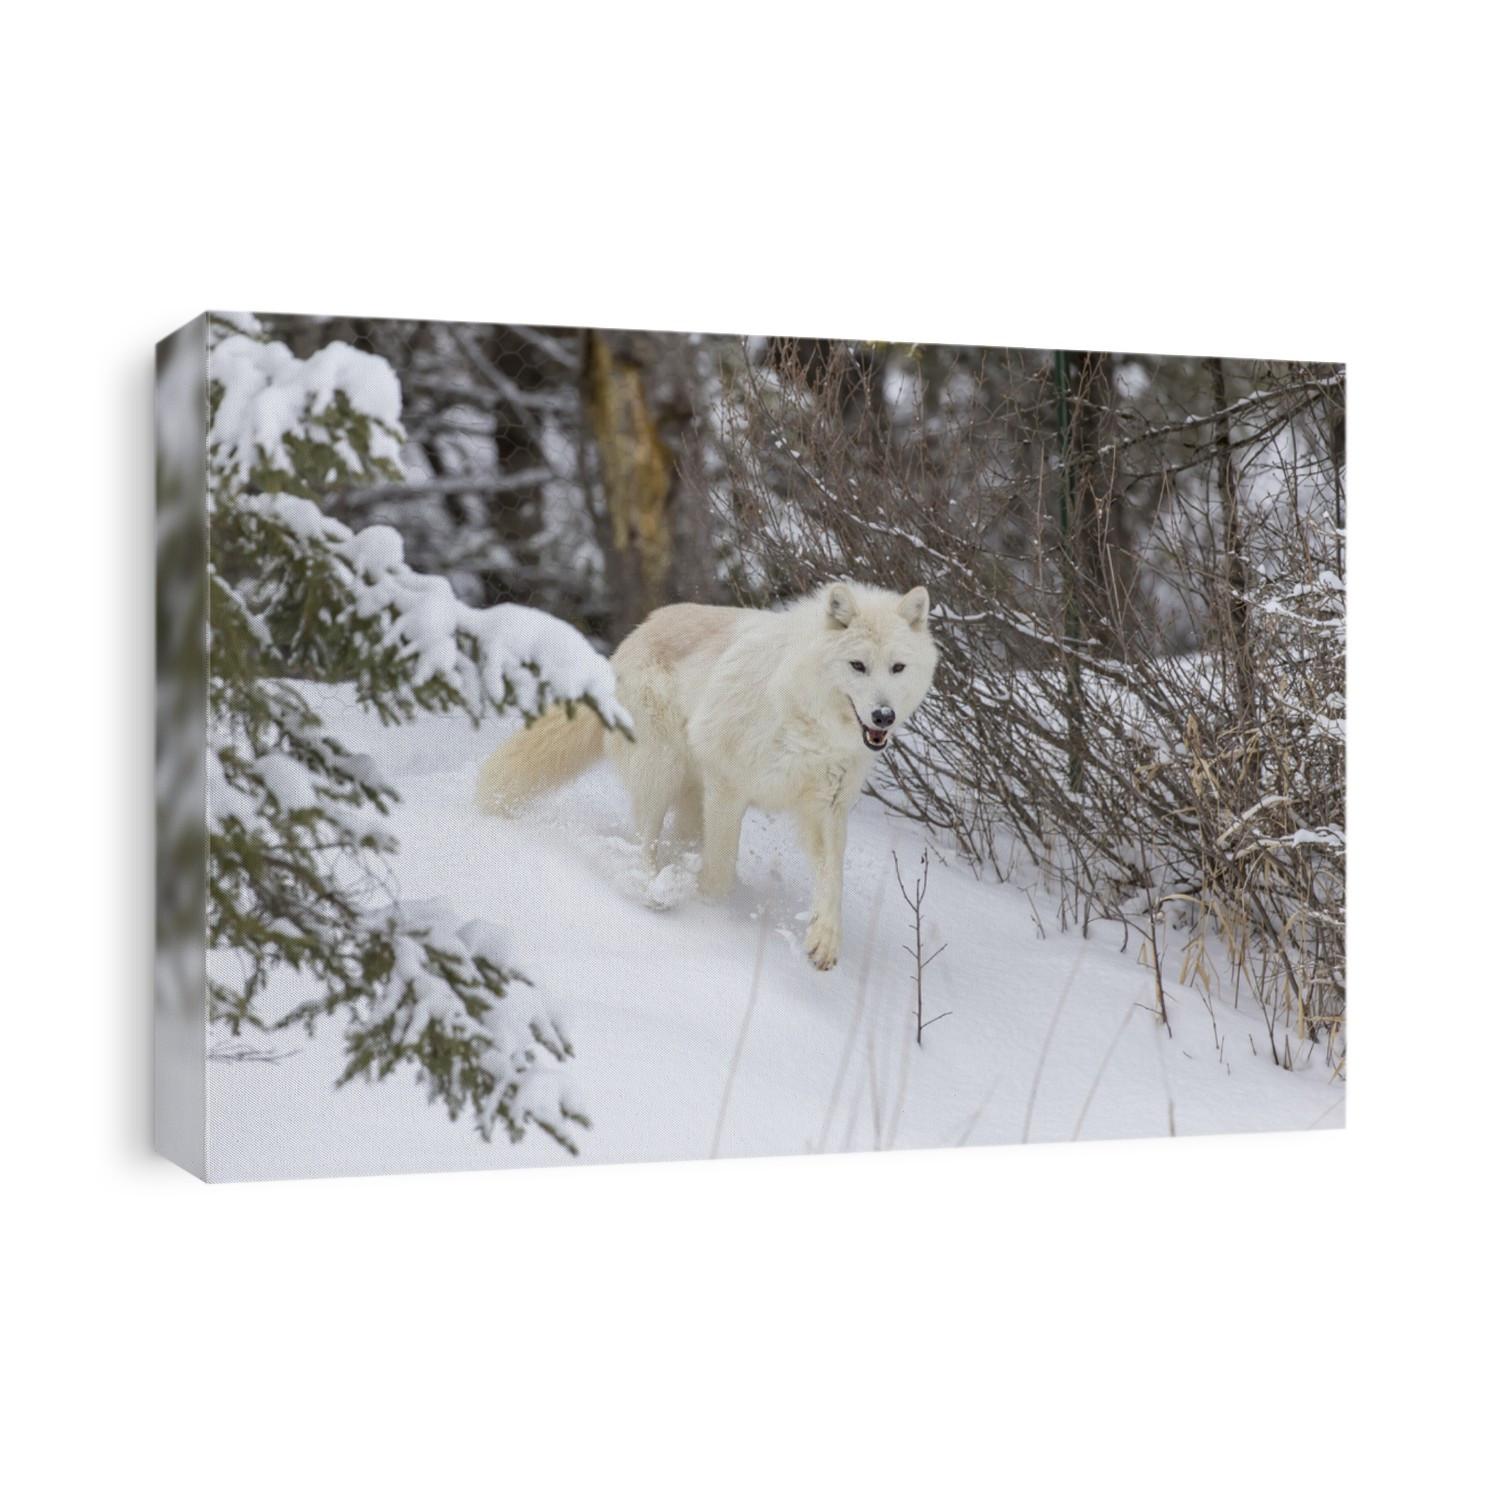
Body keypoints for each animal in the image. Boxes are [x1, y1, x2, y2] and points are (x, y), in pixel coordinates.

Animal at [476, 581, 938, 970]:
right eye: (858, 666)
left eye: (897, 668)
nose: (884, 715)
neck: (806, 719)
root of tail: (629, 641)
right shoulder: (726, 788)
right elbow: (719, 877)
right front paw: (710, 914)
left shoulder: (826, 807)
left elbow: (832, 878)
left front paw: (824, 940)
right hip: (661, 772)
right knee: (643, 841)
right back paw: (652, 891)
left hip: (687, 795)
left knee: (670, 840)